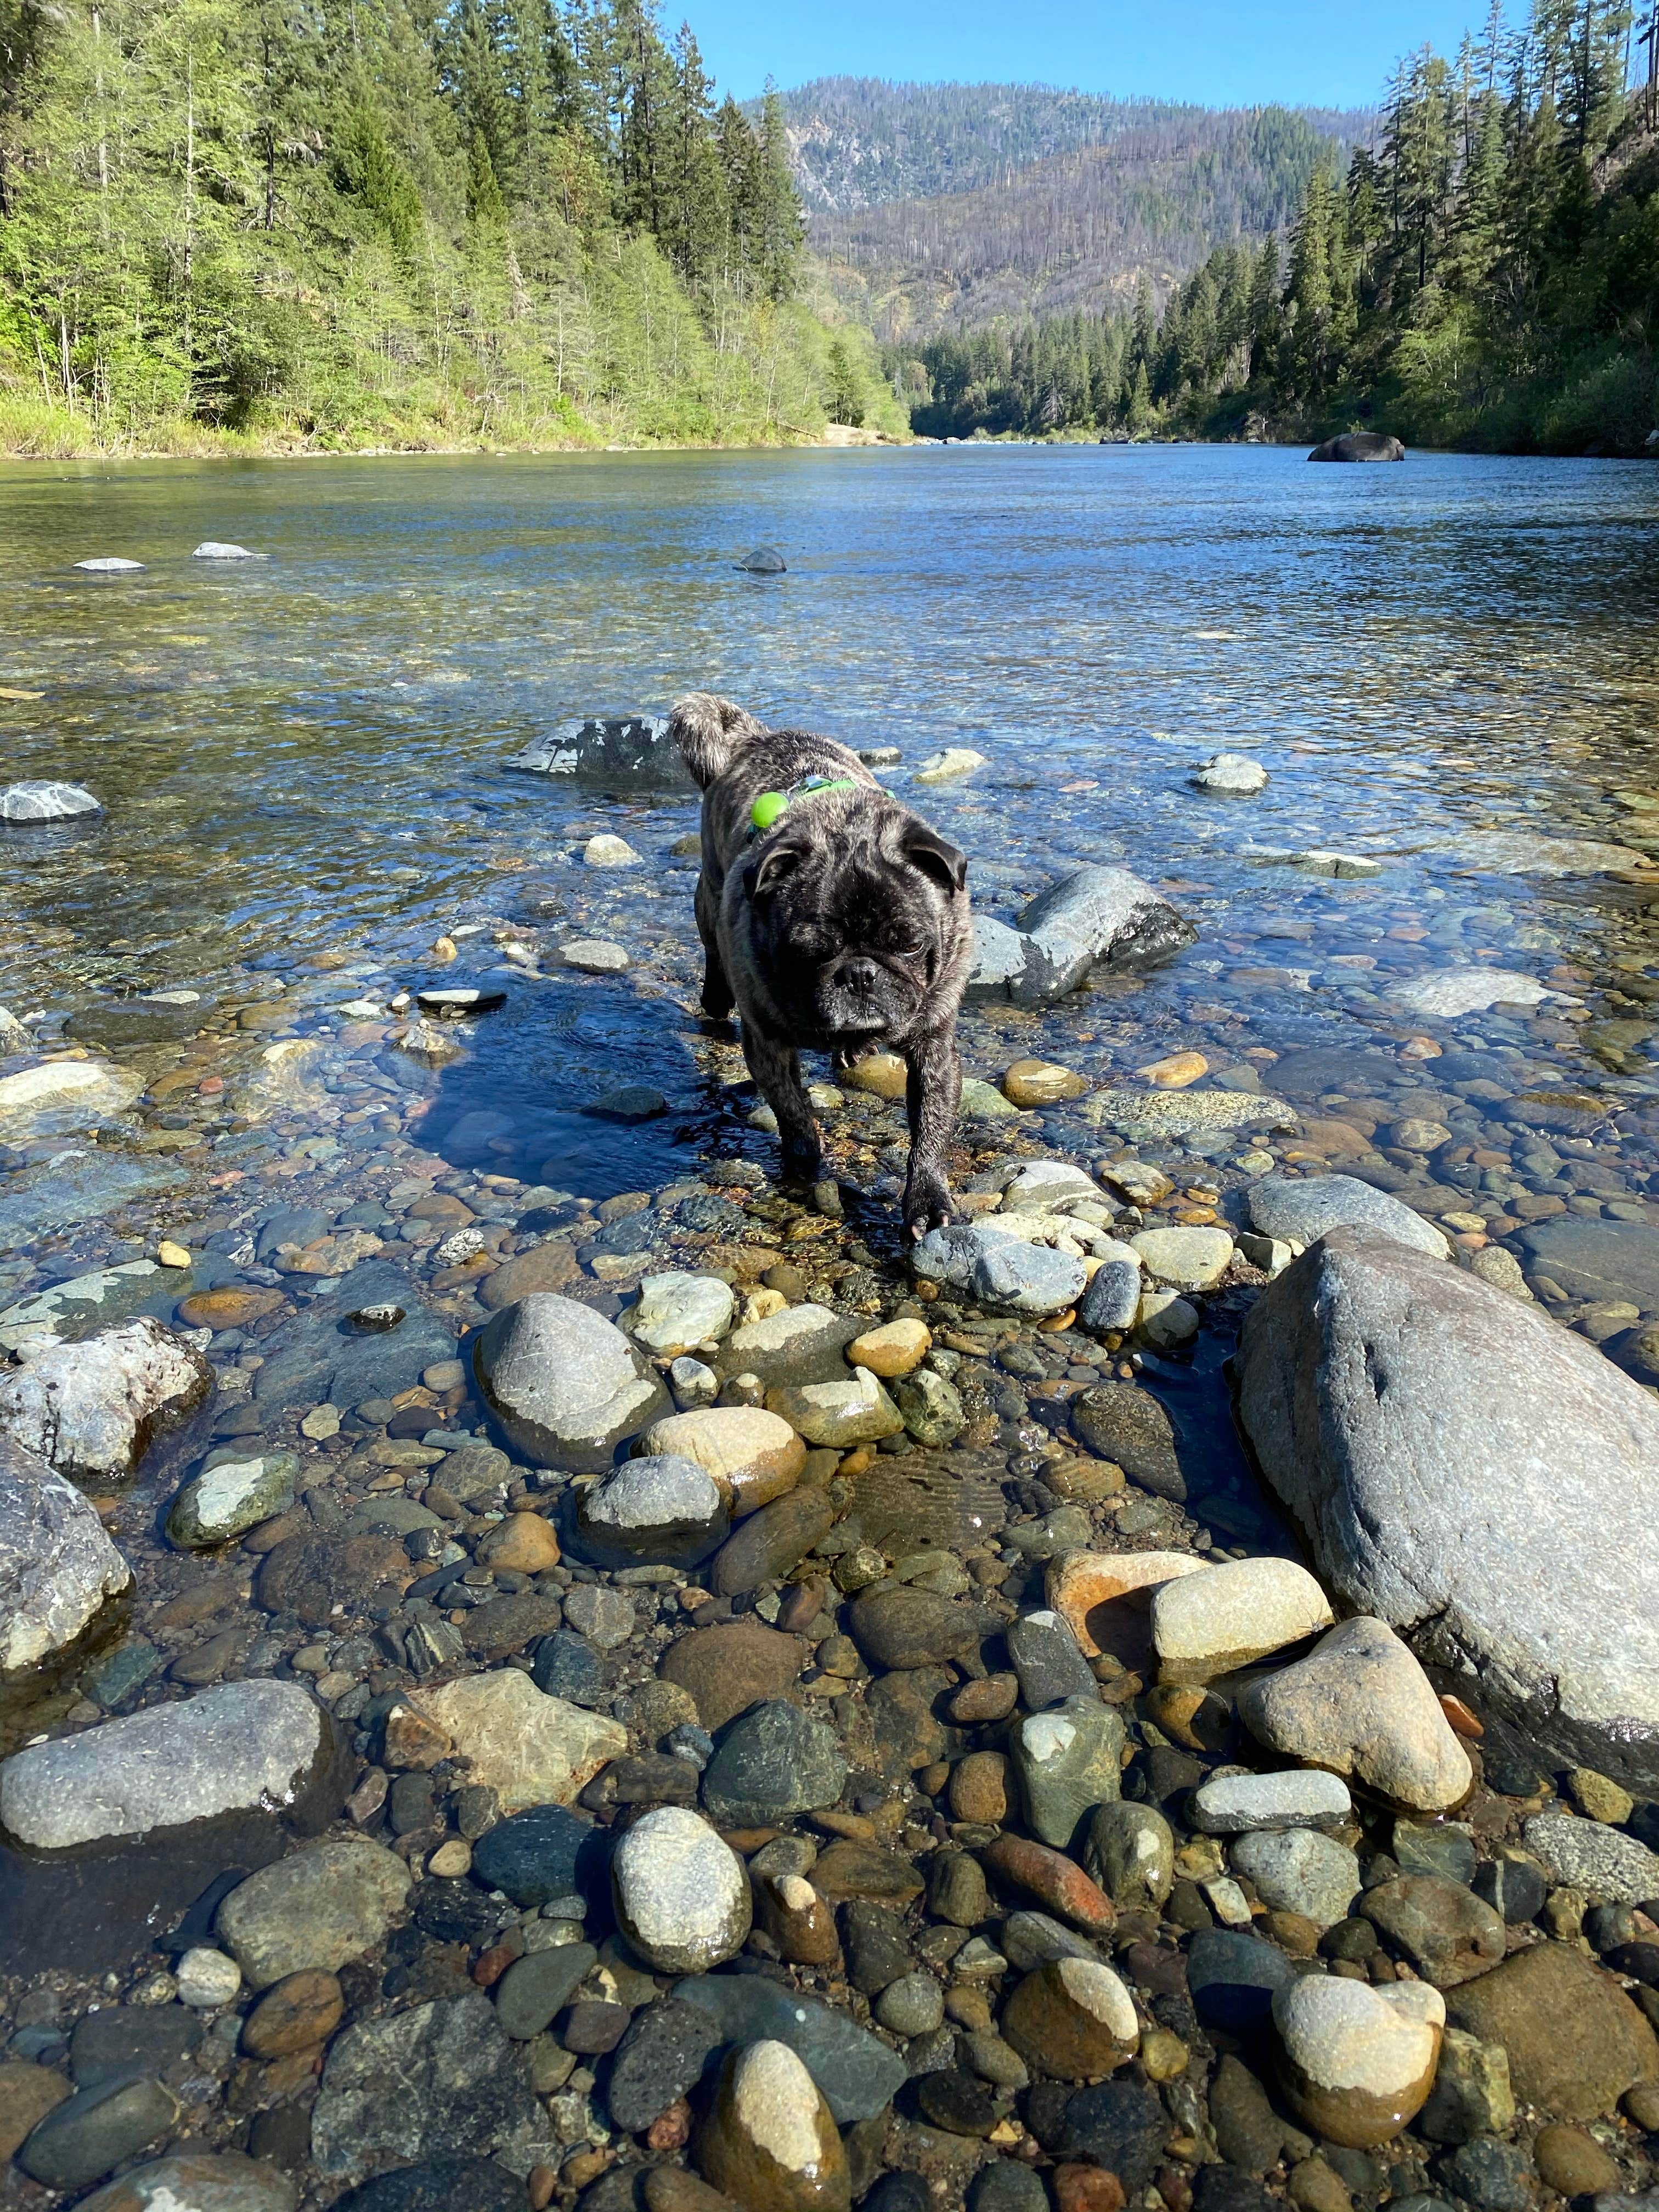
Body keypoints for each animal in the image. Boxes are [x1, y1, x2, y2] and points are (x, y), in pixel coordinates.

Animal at [676, 690, 973, 1238]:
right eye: (810, 951)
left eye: (909, 944)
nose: (859, 973)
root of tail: (755, 737)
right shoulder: (767, 1044)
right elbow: (794, 1115)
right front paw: (804, 1166)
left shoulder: (935, 1048)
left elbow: (930, 1130)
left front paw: (926, 1197)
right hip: (709, 895)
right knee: (712, 954)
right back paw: (716, 999)